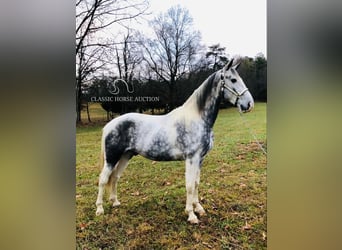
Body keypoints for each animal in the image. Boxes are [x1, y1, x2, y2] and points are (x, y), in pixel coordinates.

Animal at [94, 59, 254, 225]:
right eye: (233, 80)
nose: (249, 104)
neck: (197, 119)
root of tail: (109, 125)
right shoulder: (192, 159)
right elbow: (189, 185)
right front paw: (191, 215)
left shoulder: (200, 159)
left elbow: (196, 183)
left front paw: (199, 208)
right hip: (111, 158)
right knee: (103, 179)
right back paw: (100, 209)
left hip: (125, 156)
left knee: (115, 177)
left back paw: (115, 202)